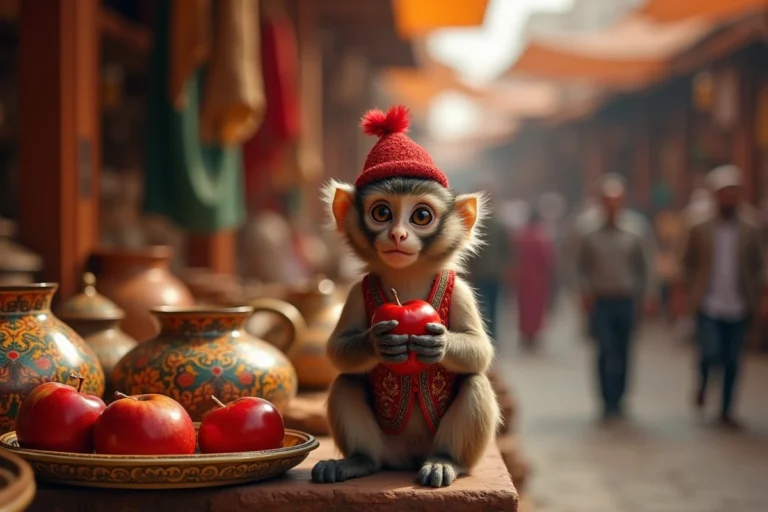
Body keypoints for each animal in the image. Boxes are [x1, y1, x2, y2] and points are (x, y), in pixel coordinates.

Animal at [310, 105, 501, 488]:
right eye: (382, 212)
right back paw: (357, 461)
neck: (407, 280)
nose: (397, 234)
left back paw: (445, 462)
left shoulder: (461, 292)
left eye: (421, 215)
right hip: (385, 447)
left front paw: (439, 344)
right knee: (345, 383)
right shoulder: (356, 293)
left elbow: (480, 351)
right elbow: (337, 350)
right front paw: (377, 342)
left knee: (475, 383)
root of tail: (407, 457)